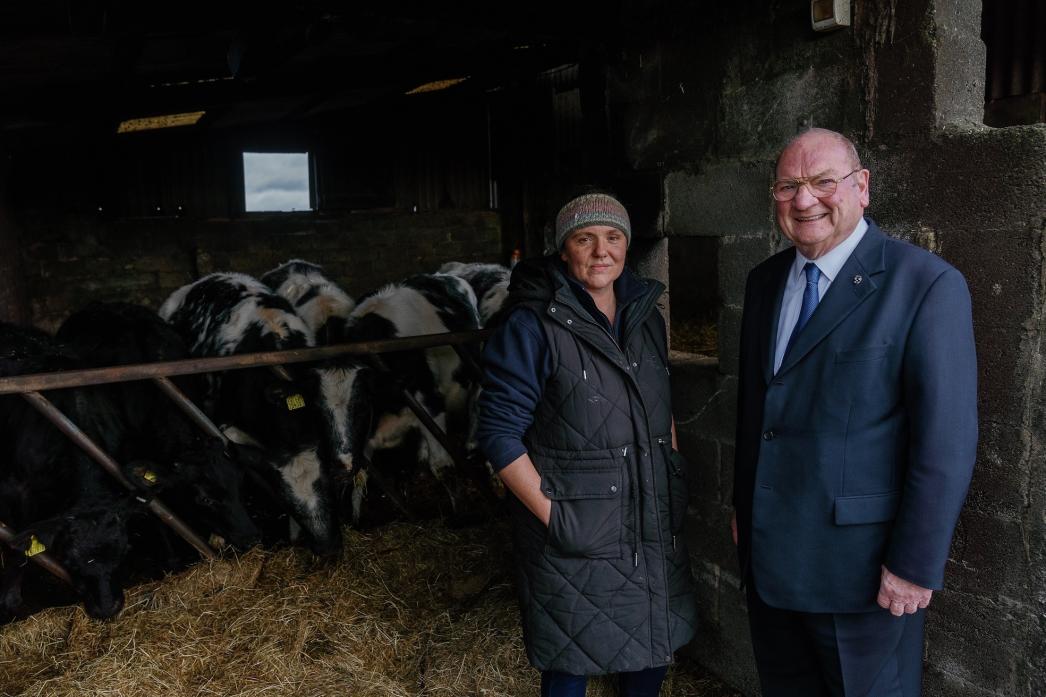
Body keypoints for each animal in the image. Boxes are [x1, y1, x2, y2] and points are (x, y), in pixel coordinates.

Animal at [317, 272, 481, 521]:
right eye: (320, 410)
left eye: (362, 404)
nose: (341, 461)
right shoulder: (365, 437)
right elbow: (360, 480)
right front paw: (357, 521)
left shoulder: (431, 405)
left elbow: (442, 466)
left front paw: (460, 515)